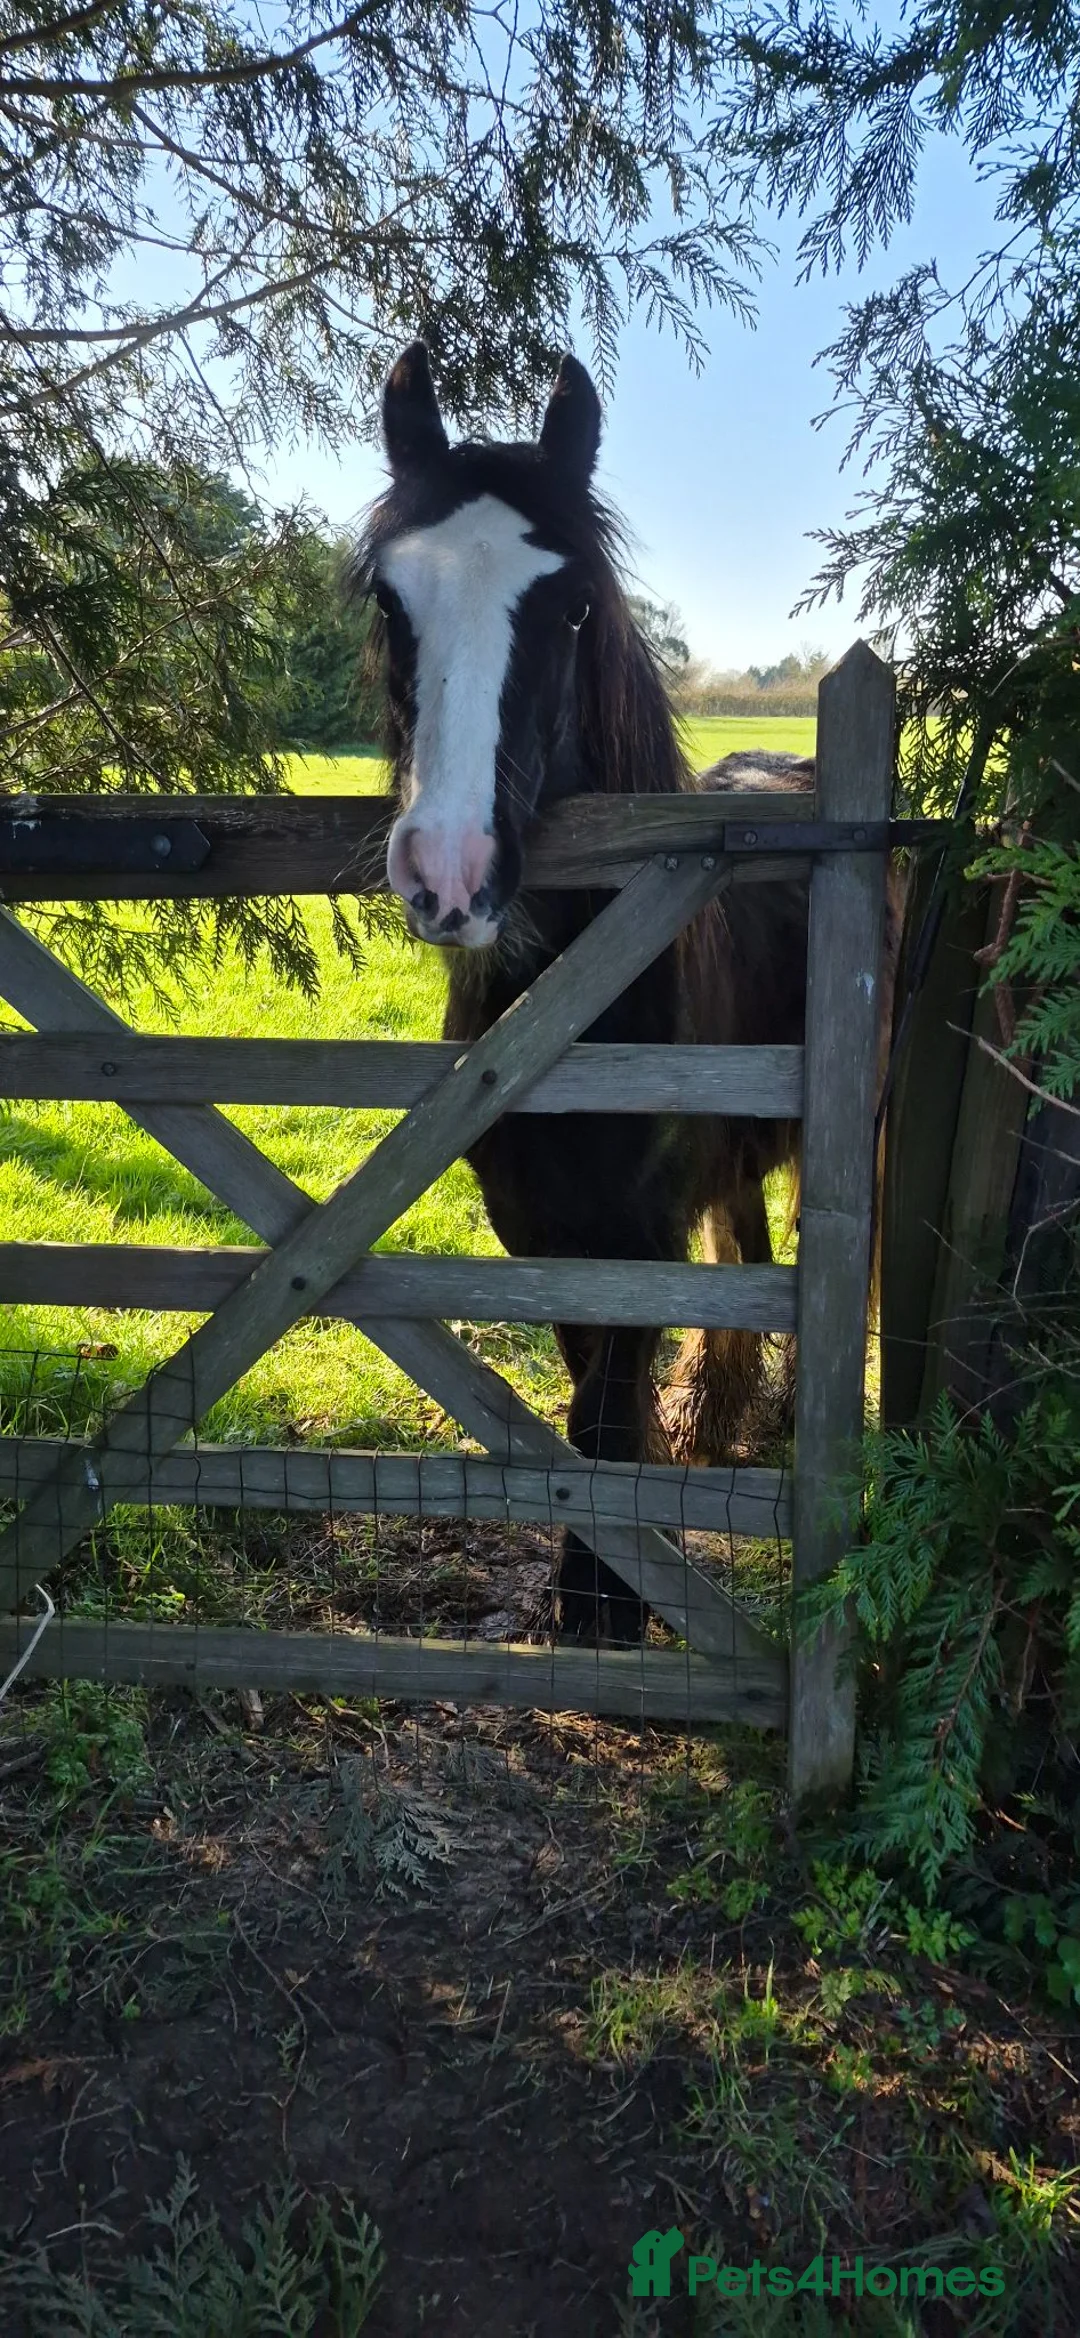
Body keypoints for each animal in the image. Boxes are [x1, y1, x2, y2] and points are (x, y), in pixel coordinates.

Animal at [354, 342, 895, 1644]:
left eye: (573, 606)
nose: (450, 874)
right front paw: (600, 1569)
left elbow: (603, 1410)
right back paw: (722, 1408)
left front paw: (610, 1607)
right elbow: (584, 1398)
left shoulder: (636, 1232)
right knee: (748, 1243)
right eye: (389, 601)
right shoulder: (540, 1229)